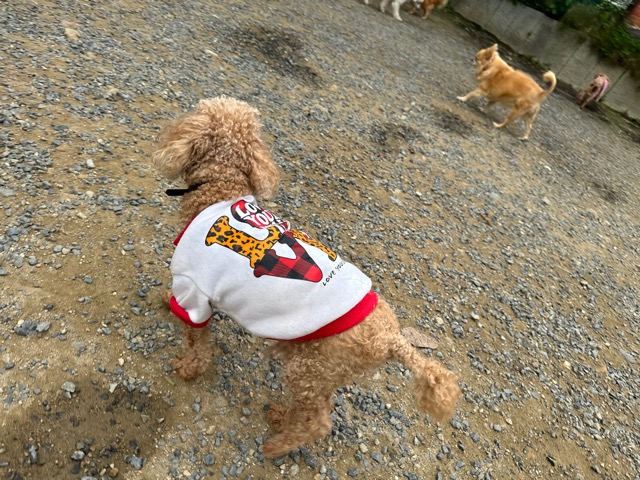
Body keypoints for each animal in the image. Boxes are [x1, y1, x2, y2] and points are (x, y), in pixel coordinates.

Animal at [153, 96, 461, 457]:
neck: (220, 185)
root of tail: (391, 338)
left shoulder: (195, 292)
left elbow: (196, 343)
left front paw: (187, 368)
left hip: (310, 370)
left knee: (318, 421)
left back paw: (277, 443)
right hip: (318, 367)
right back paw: (281, 416)